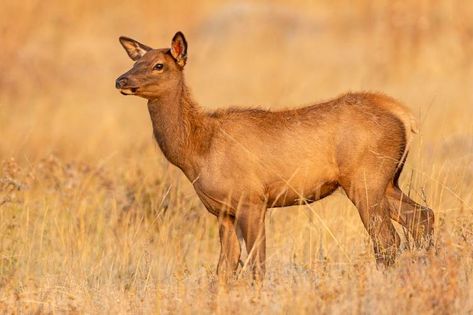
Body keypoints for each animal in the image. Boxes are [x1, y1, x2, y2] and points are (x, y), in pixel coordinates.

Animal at [116, 30, 434, 282]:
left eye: (158, 65)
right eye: (135, 62)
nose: (121, 80)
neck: (198, 150)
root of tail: (404, 116)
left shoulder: (253, 200)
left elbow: (257, 265)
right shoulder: (222, 211)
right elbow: (224, 269)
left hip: (365, 179)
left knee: (387, 239)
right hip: (387, 181)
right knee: (422, 216)